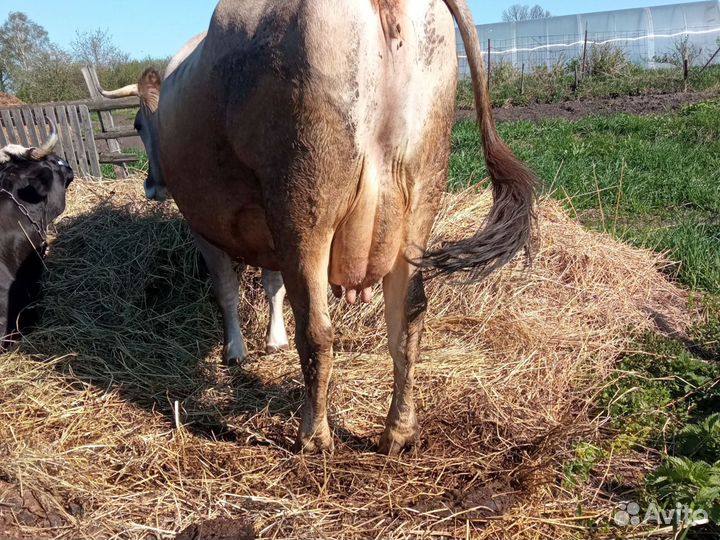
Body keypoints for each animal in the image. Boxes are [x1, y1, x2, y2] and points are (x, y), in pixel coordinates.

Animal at [100, 0, 536, 456]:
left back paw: (312, 436)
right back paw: (399, 432)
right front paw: (272, 340)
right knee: (408, 321)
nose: (152, 186)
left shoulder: (205, 226)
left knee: (317, 330)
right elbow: (271, 285)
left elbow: (226, 291)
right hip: (418, 201)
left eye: (137, 125)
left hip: (304, 208)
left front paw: (235, 351)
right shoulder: (269, 230)